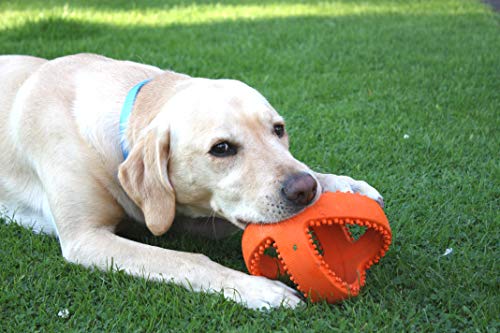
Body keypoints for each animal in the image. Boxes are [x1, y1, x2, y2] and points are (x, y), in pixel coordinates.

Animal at [0, 53, 382, 308]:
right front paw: (258, 288)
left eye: (278, 129)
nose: (304, 190)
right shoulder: (86, 238)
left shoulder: (185, 211)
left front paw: (340, 183)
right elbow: (186, 259)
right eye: (222, 148)